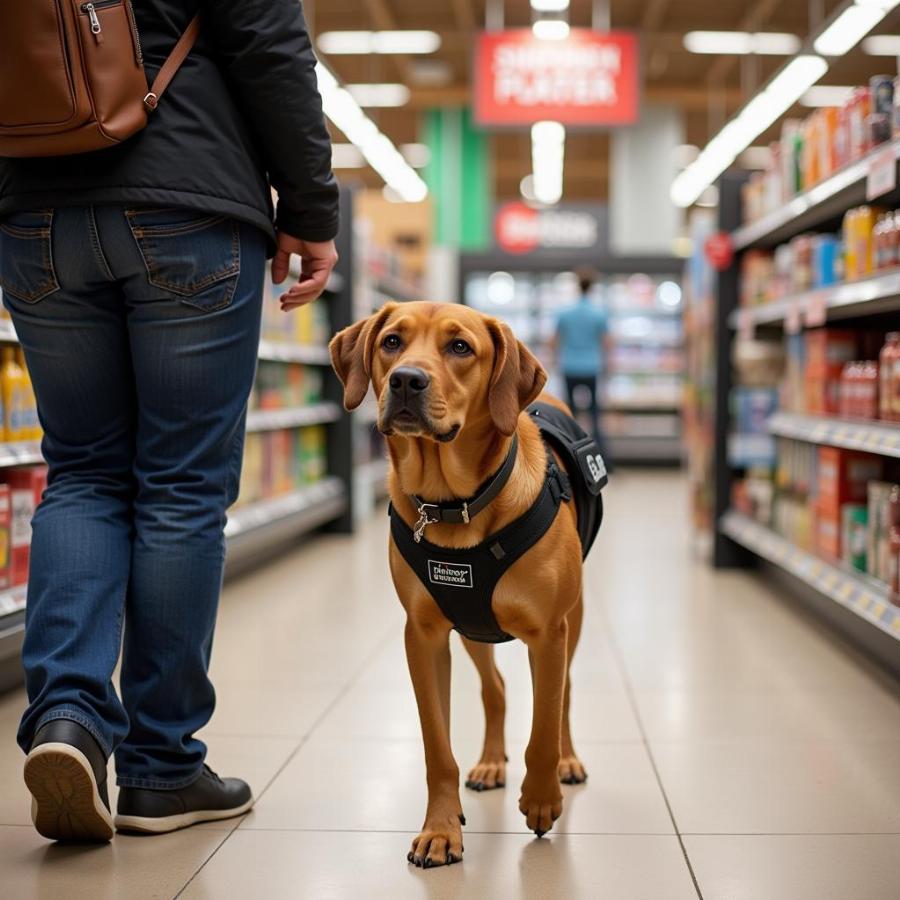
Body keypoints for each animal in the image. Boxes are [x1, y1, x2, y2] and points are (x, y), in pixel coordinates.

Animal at [330, 304, 596, 872]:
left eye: (460, 348)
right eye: (391, 342)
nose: (407, 379)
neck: (454, 504)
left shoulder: (549, 633)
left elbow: (542, 728)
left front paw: (541, 799)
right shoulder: (424, 636)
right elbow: (437, 748)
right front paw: (440, 829)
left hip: (574, 618)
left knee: (562, 696)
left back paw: (566, 761)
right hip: (475, 627)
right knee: (495, 689)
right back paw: (491, 763)